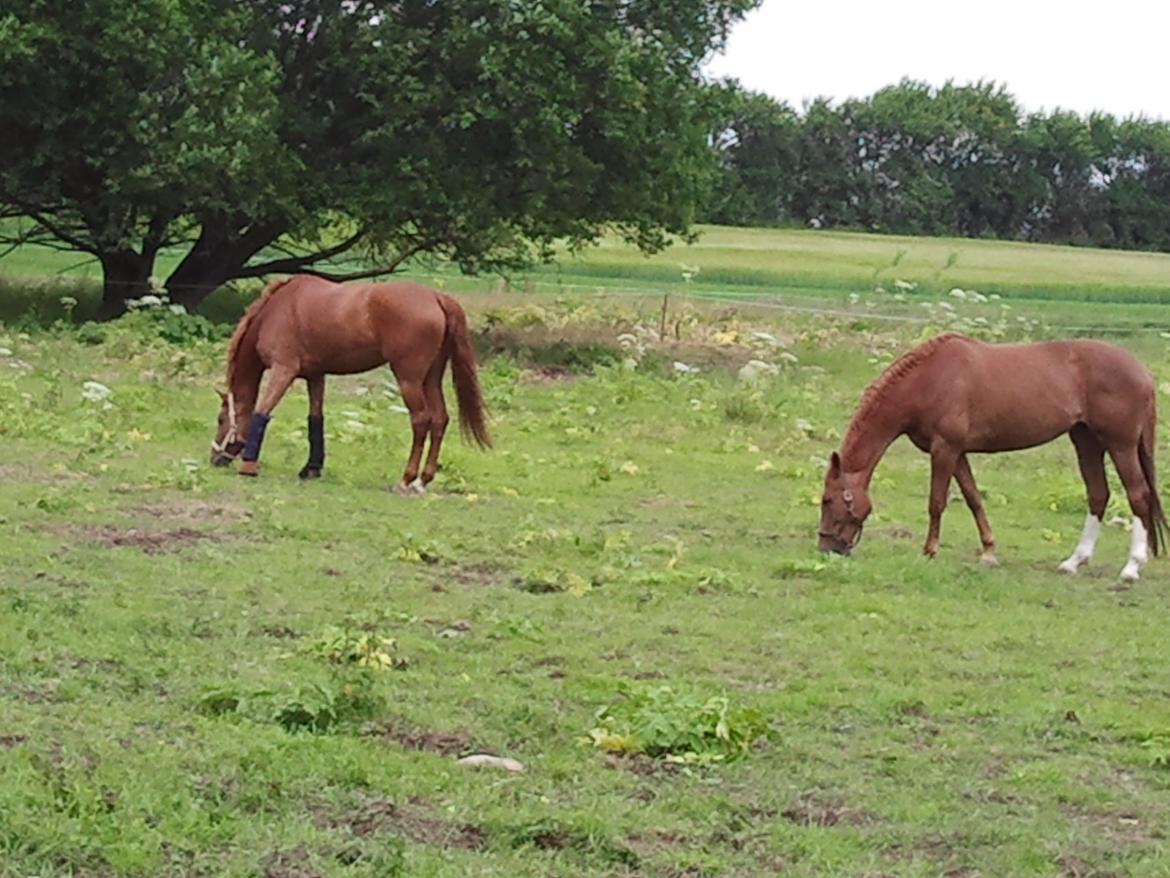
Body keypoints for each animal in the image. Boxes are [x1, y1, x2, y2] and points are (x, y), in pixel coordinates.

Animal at [210, 276, 489, 496]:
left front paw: (248, 466)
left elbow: (263, 411)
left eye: (221, 419)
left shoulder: (283, 370)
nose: (215, 458)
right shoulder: (316, 376)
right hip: (430, 378)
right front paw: (311, 468)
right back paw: (423, 480)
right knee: (440, 419)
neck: (277, 309)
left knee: (421, 420)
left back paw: (406, 479)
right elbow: (315, 419)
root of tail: (435, 297)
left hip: (409, 379)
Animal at [819, 332, 1165, 580]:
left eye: (829, 500)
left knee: (1138, 494)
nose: (825, 548)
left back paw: (1131, 567)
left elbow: (936, 502)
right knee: (1098, 495)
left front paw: (929, 551)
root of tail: (1143, 372)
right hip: (1087, 442)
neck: (929, 380)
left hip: (1120, 445)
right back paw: (1073, 562)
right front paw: (988, 552)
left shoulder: (945, 449)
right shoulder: (956, 452)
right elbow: (973, 498)